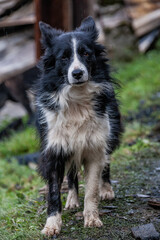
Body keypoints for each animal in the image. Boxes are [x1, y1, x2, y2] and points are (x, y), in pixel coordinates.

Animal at [35, 17, 122, 236]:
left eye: (86, 53)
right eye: (63, 58)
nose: (77, 73)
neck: (77, 98)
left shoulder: (94, 147)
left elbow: (91, 189)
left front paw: (92, 218)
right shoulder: (55, 148)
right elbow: (53, 192)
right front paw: (52, 225)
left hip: (110, 130)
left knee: (106, 163)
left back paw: (106, 189)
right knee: (72, 173)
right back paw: (72, 200)